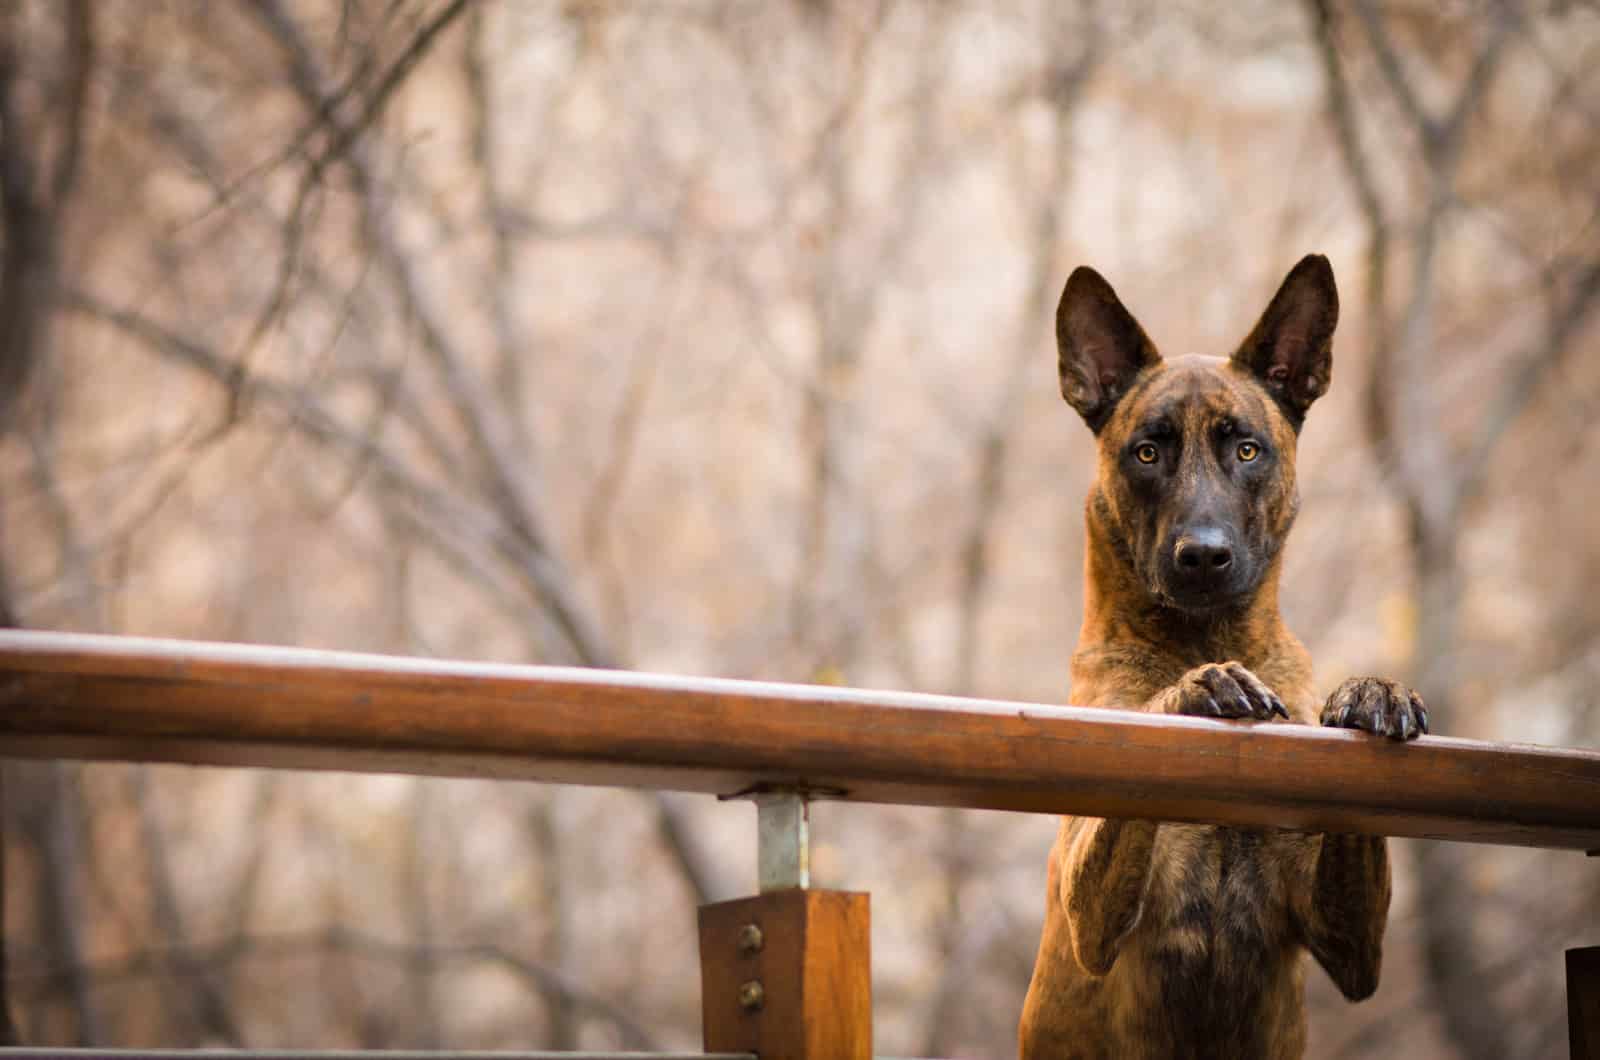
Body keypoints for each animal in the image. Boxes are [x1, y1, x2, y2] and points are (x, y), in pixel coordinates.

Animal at [1017, 257, 1433, 1060]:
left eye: (1247, 450)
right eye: (1148, 452)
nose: (1204, 557)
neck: (1207, 634)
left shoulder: (1352, 945)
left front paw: (1372, 693)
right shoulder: (1091, 917)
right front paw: (1200, 687)